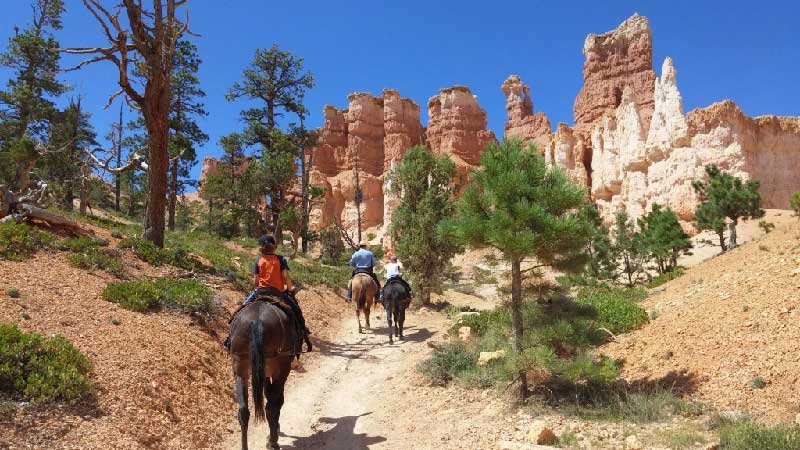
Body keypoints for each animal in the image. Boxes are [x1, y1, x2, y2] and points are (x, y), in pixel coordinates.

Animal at [227, 298, 298, 450]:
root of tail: (257, 321)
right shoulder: (280, 371)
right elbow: (277, 400)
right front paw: (275, 431)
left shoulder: (263, 373)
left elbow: (270, 395)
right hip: (280, 366)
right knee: (271, 407)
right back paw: (273, 442)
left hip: (240, 368)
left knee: (243, 411)